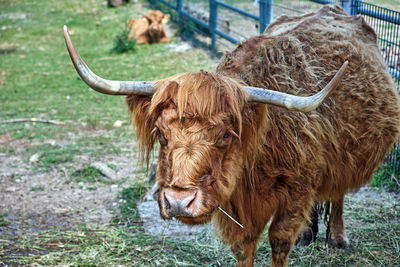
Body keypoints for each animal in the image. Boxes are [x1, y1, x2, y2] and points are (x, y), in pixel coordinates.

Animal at [63, 4, 400, 267]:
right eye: (160, 132)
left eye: (226, 134)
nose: (178, 202)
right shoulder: (238, 208)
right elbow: (244, 246)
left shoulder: (297, 191)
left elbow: (279, 241)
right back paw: (308, 233)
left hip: (345, 154)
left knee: (338, 191)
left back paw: (338, 237)